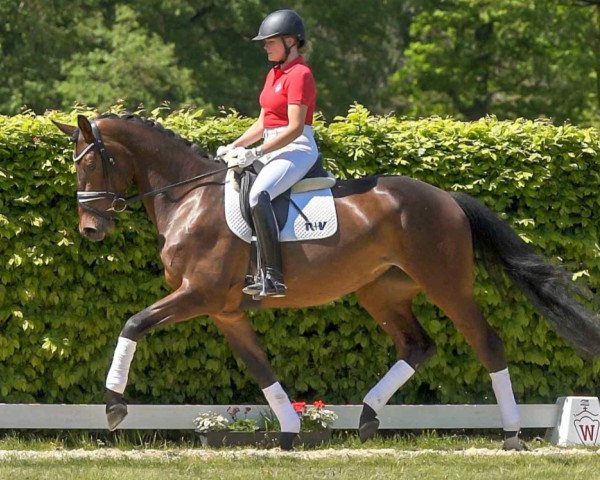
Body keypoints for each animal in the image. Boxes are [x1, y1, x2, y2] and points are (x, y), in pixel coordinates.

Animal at [52, 114, 600, 452]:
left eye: (93, 162)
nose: (91, 229)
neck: (188, 197)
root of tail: (445, 196)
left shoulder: (197, 295)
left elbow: (133, 323)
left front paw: (114, 407)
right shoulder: (224, 311)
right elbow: (261, 368)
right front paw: (290, 432)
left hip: (447, 285)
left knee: (486, 342)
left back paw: (511, 435)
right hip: (380, 292)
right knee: (417, 345)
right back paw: (367, 416)